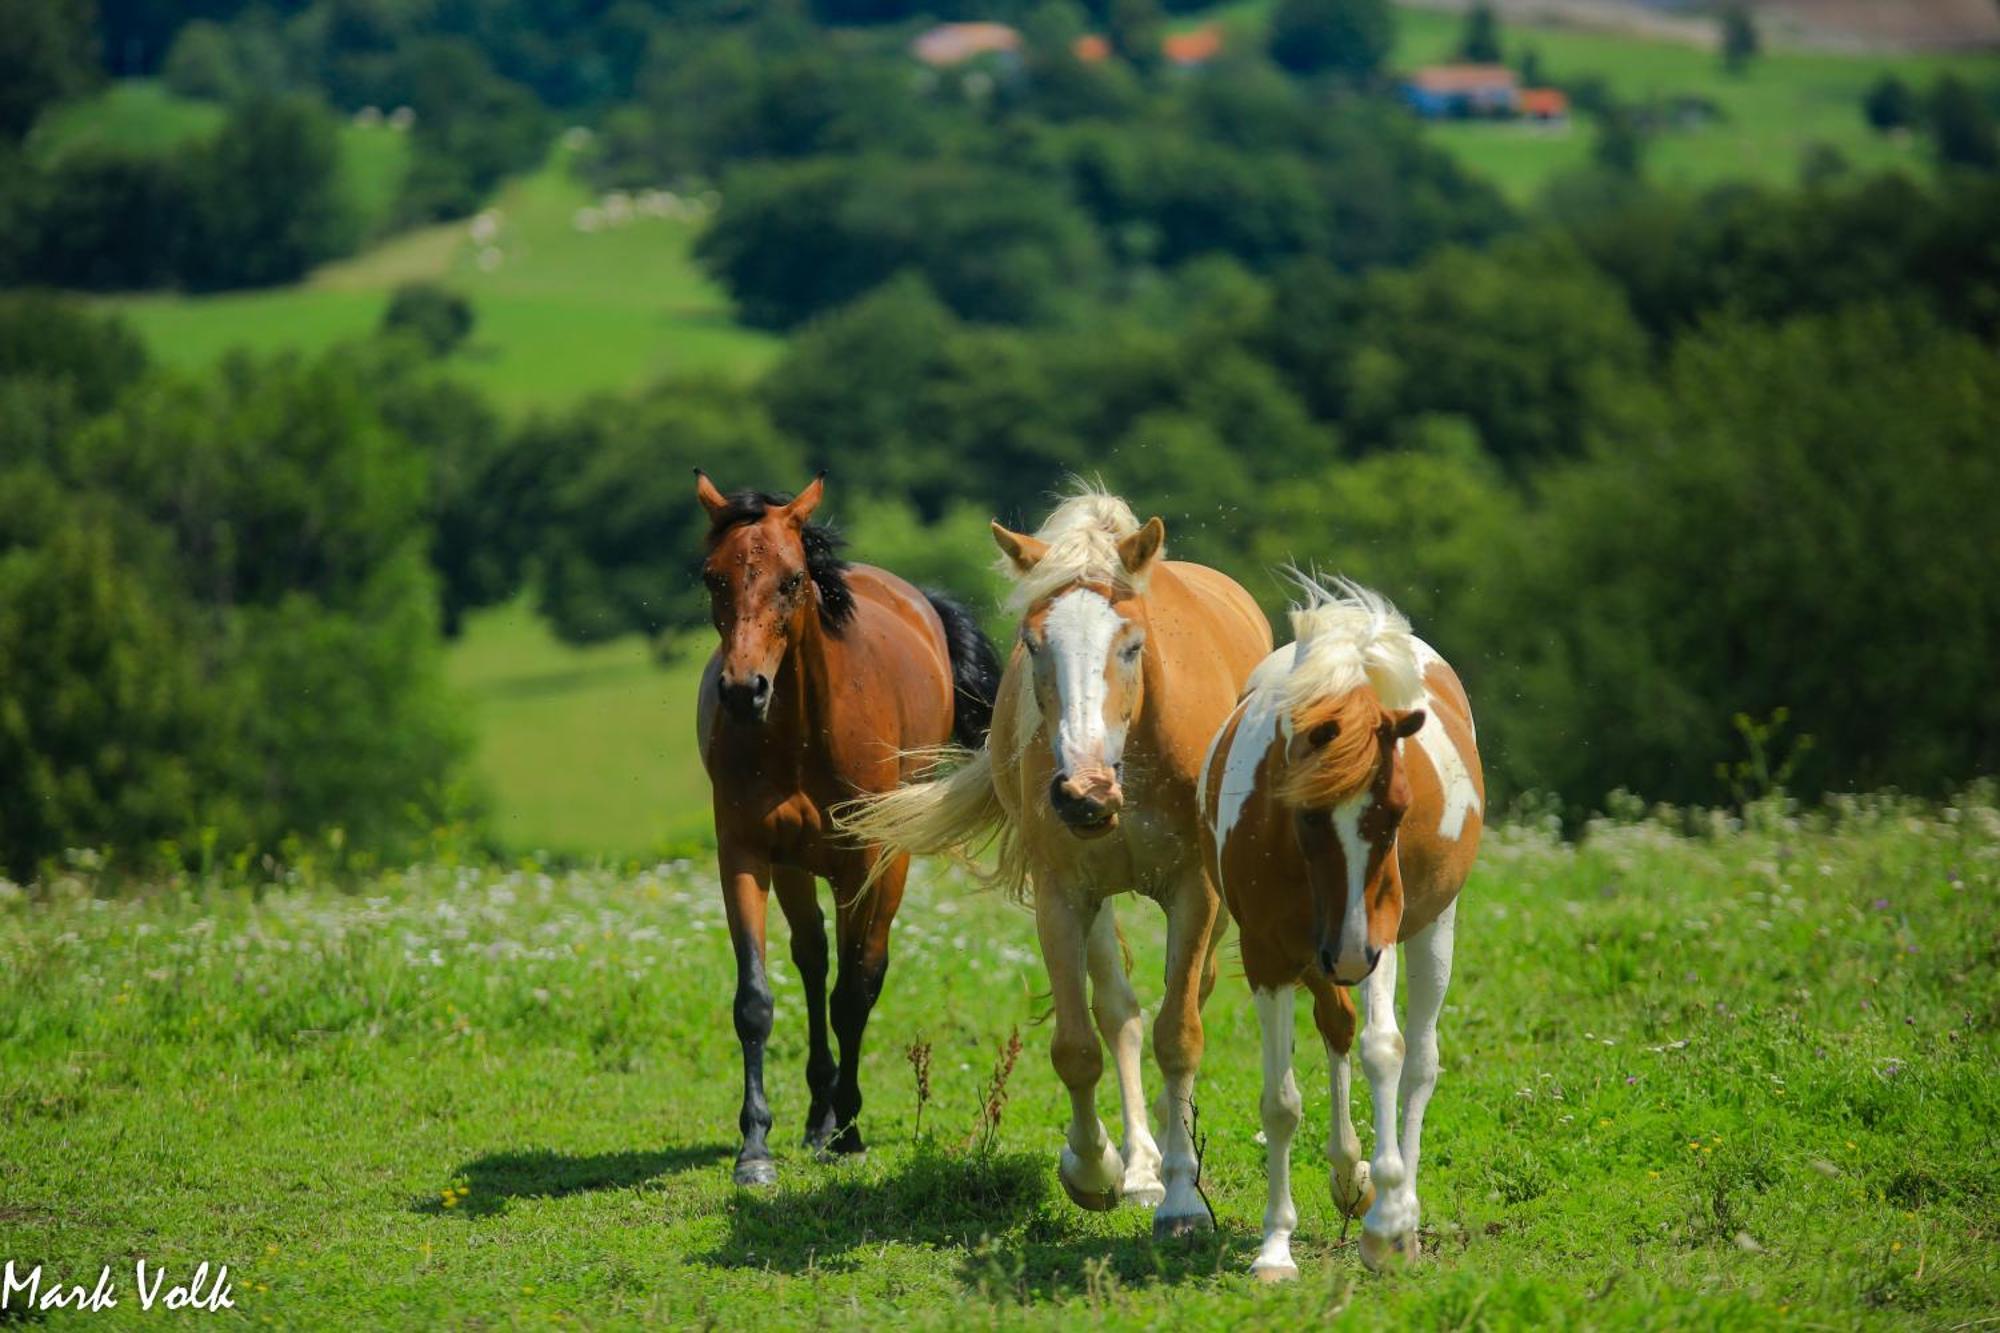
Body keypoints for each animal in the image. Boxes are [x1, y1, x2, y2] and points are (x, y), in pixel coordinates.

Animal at [696, 470, 1000, 1184]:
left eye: (791, 580)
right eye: (713, 577)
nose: (743, 691)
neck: (802, 732)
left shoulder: (868, 859)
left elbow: (856, 991)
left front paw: (851, 1132)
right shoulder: (745, 854)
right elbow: (755, 1000)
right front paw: (755, 1149)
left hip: (874, 867)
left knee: (855, 974)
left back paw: (836, 1121)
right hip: (794, 867)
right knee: (811, 962)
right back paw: (815, 1117)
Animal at [840, 488, 1272, 1232]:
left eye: (1132, 645)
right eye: (1034, 643)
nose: (1083, 792)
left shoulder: (1195, 891)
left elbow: (1179, 1033)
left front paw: (1185, 1200)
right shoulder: (1063, 894)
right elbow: (1078, 1045)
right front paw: (1094, 1170)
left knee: (1187, 997)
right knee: (1119, 1012)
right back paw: (1140, 1166)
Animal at [1192, 572, 1480, 1280]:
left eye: (1397, 811)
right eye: (1305, 814)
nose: (1349, 956)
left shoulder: (1379, 937)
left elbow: (1386, 1051)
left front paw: (1388, 1226)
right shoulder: (1272, 955)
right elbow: (1281, 1102)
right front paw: (1275, 1247)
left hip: (1427, 932)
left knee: (1418, 1062)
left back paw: (1398, 1208)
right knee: (1337, 1027)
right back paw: (1352, 1176)